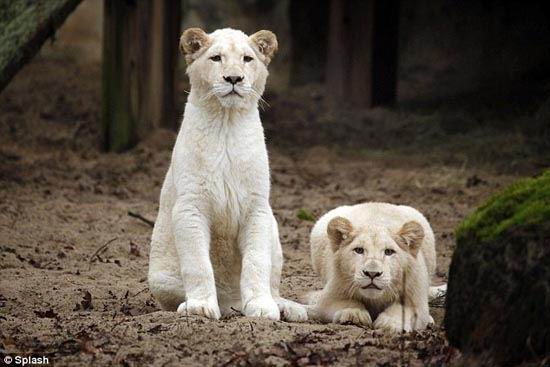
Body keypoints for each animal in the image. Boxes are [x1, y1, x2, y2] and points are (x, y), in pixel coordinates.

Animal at [147, 28, 308, 322]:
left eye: (247, 58)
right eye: (216, 58)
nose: (234, 78)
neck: (227, 122)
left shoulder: (257, 208)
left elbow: (257, 261)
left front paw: (262, 307)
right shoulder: (190, 207)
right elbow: (198, 263)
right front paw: (200, 307)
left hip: (274, 229)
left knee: (273, 285)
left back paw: (287, 308)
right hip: (160, 277)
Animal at [310, 203, 444, 332]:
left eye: (389, 252)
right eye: (359, 250)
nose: (372, 274)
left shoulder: (417, 302)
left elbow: (402, 310)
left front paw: (389, 324)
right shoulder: (328, 299)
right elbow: (345, 303)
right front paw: (353, 314)